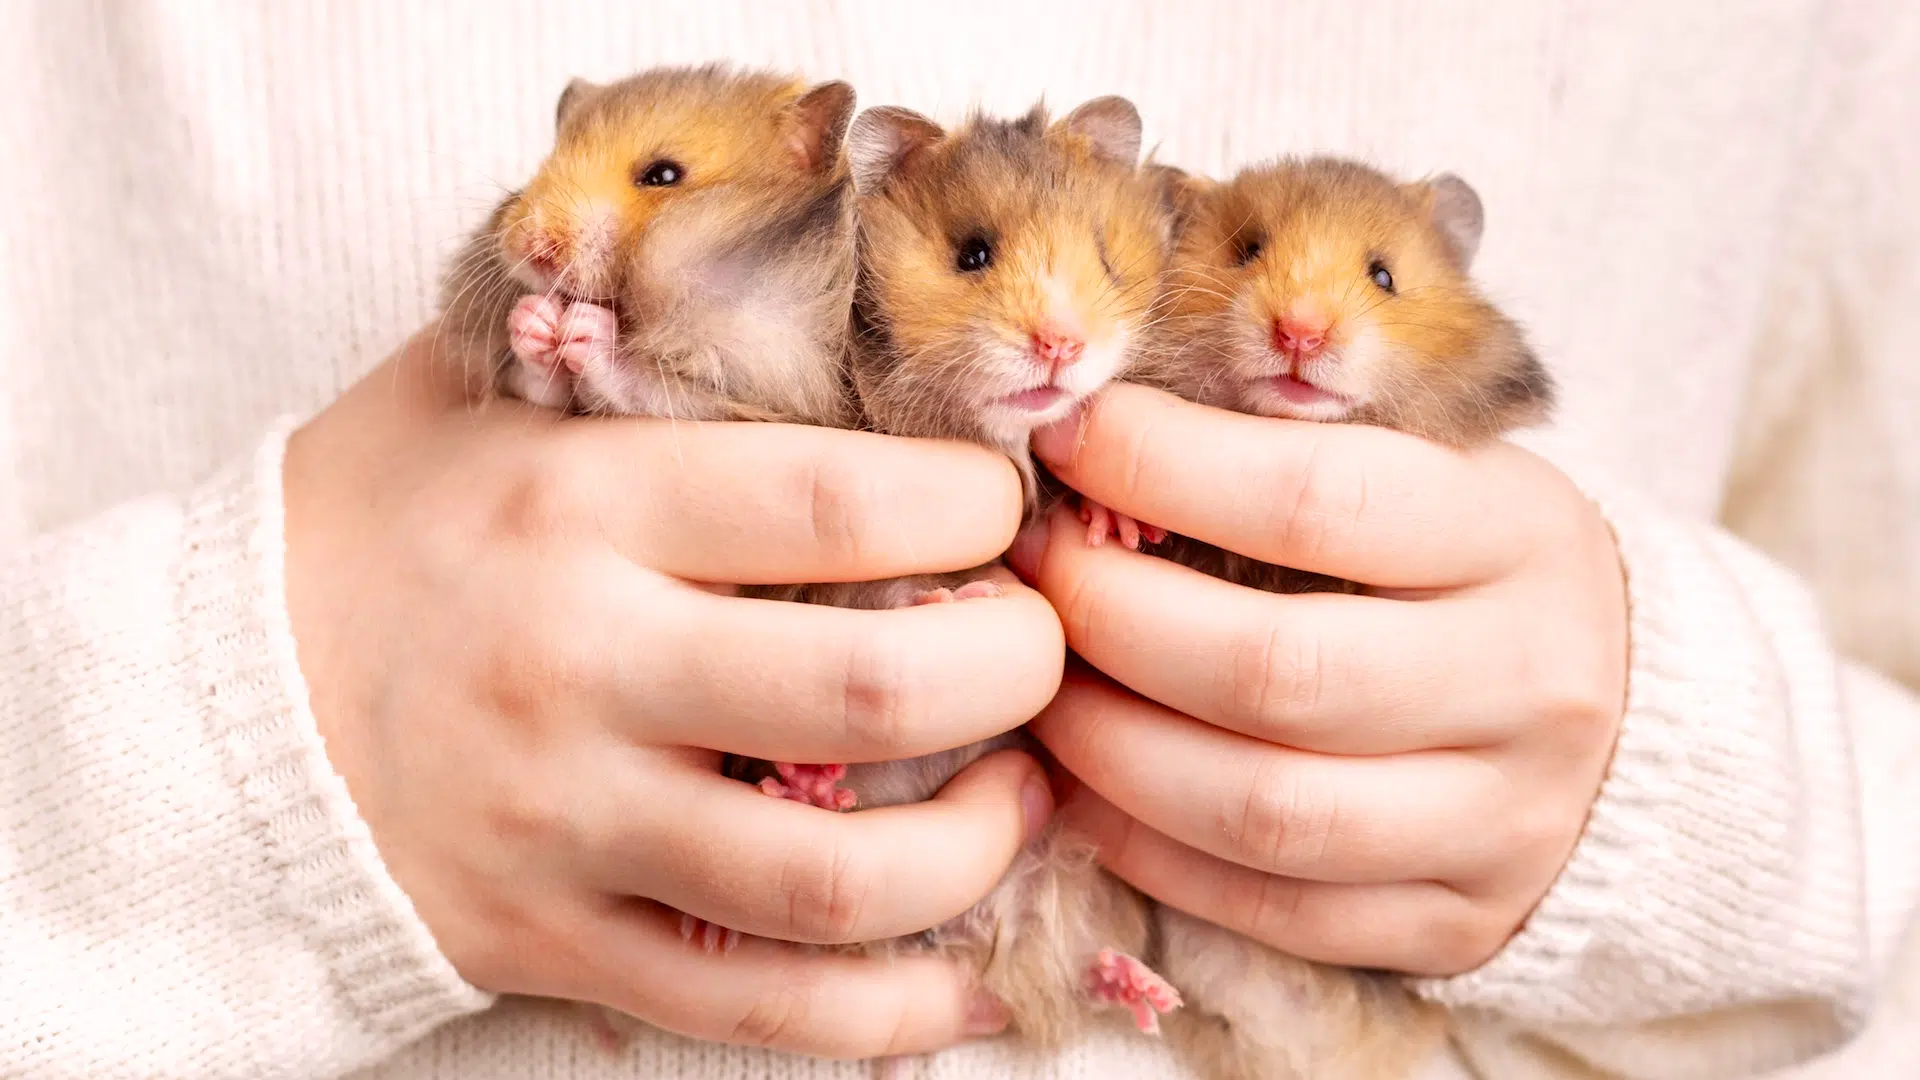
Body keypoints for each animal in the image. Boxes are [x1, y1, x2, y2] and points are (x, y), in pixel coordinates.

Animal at [438, 63, 859, 427]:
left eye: (664, 175)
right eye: (542, 166)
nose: (532, 248)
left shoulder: (775, 390)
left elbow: (647, 388)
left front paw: (583, 325)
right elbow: (541, 387)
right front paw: (533, 317)